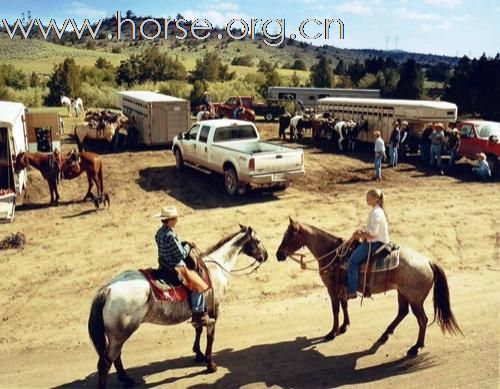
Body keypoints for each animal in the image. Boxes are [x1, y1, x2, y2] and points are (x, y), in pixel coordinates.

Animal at [90, 224, 270, 388]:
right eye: (258, 240)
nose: (266, 256)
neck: (216, 267)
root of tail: (107, 289)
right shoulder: (214, 310)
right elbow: (210, 337)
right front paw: (210, 364)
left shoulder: (200, 311)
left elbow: (198, 329)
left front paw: (198, 354)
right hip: (120, 334)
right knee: (105, 363)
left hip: (116, 335)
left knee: (115, 356)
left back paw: (126, 379)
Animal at [276, 217, 462, 356]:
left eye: (289, 236)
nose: (278, 255)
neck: (332, 253)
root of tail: (429, 262)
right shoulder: (342, 289)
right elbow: (344, 306)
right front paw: (345, 326)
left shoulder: (332, 289)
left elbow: (335, 310)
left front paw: (332, 333)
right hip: (402, 293)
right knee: (402, 313)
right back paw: (384, 335)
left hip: (415, 299)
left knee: (422, 320)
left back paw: (416, 347)